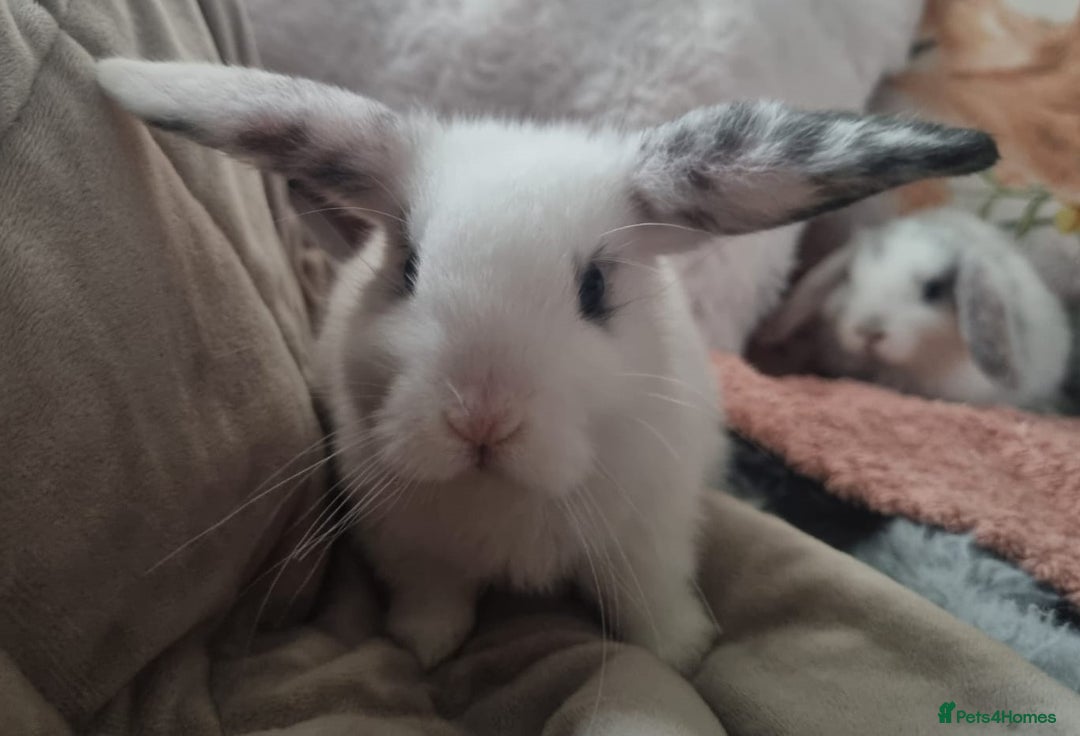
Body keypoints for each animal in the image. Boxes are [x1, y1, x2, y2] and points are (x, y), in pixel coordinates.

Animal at [96, 58, 998, 673]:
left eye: (595, 288)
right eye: (408, 268)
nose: (480, 418)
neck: (505, 491)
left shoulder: (647, 540)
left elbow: (647, 603)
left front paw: (682, 652)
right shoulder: (412, 548)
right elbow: (434, 598)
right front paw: (423, 648)